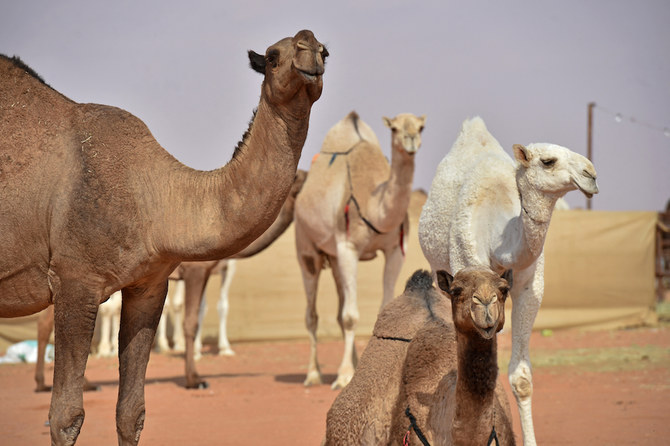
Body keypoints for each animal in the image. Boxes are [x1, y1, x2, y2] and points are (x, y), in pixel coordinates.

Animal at [0, 28, 328, 446]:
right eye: (272, 56)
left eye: (325, 52)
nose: (308, 49)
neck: (157, 199)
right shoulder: (76, 280)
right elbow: (65, 416)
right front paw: (194, 379)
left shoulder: (150, 283)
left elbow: (132, 412)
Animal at [294, 110, 426, 388]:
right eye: (394, 128)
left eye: (421, 127)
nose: (410, 140)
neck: (373, 205)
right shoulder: (347, 247)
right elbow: (350, 317)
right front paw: (343, 376)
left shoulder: (396, 250)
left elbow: (382, 308)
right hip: (306, 247)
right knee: (312, 314)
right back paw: (313, 374)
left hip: (333, 259)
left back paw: (352, 365)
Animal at [418, 117, 600, 446]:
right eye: (548, 161)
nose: (591, 174)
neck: (498, 239)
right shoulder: (465, 271)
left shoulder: (529, 286)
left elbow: (522, 377)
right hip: (436, 266)